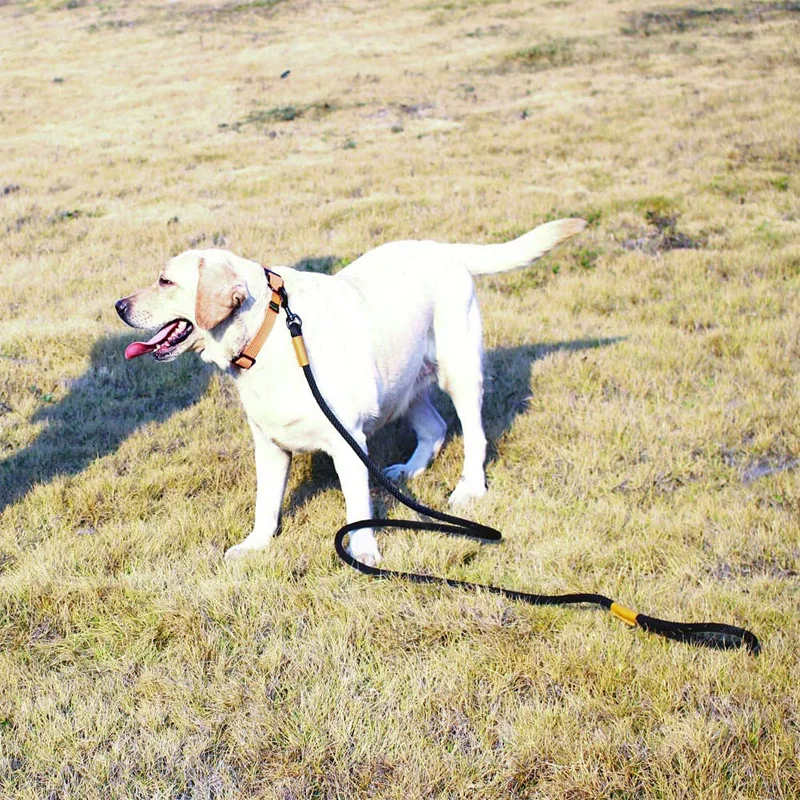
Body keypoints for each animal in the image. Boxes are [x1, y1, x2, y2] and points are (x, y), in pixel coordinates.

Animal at [115, 219, 584, 564]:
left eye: (165, 282)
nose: (119, 306)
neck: (269, 332)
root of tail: (444, 248)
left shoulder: (348, 441)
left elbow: (358, 508)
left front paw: (363, 554)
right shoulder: (269, 445)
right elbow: (265, 504)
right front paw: (255, 545)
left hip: (459, 371)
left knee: (474, 436)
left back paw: (470, 489)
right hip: (403, 382)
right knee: (433, 428)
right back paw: (408, 472)